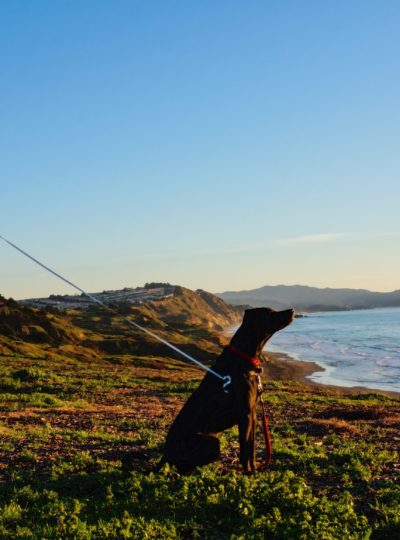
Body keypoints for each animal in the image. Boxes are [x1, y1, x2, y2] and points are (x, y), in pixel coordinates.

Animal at [159, 308, 294, 472]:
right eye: (270, 313)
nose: (292, 310)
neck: (243, 357)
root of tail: (165, 454)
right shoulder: (245, 415)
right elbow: (245, 451)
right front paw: (249, 473)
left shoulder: (253, 414)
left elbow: (252, 450)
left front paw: (255, 469)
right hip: (211, 441)